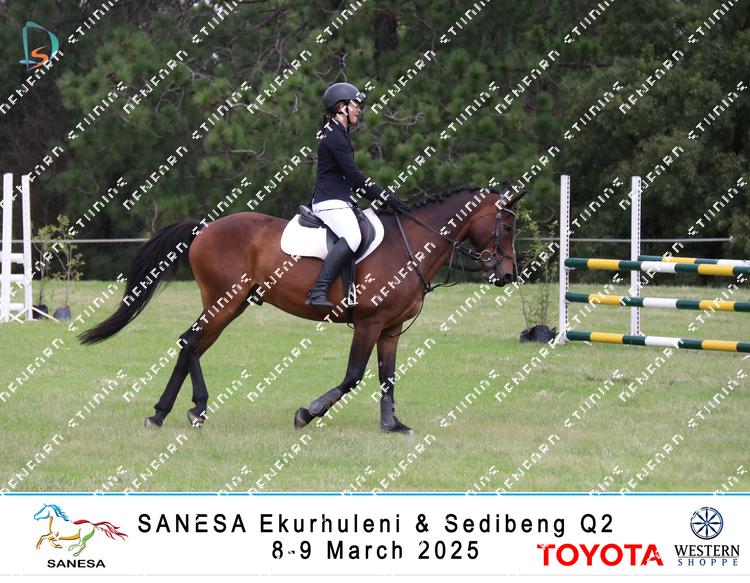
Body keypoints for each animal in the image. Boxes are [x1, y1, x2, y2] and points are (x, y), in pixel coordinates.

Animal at [80, 185, 525, 433]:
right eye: (506, 226)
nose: (506, 274)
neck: (410, 244)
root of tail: (205, 228)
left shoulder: (391, 329)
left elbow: (387, 378)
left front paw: (392, 424)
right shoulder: (369, 324)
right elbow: (353, 377)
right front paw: (307, 414)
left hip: (232, 306)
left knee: (191, 344)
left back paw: (166, 413)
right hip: (224, 302)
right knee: (191, 342)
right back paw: (189, 409)